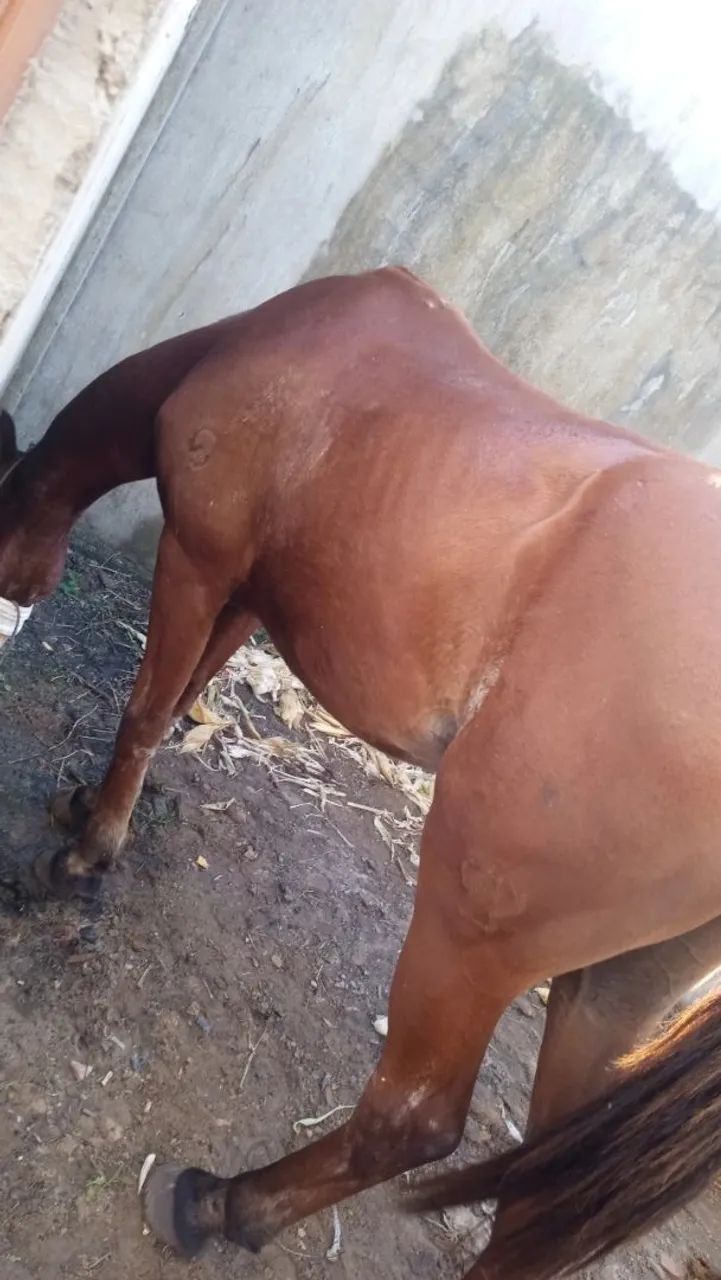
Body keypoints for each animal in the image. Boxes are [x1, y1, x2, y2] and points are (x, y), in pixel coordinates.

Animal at [2, 267, 721, 1279]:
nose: (17, 596)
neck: (273, 346)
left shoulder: (198, 558)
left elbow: (147, 709)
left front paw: (84, 854)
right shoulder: (249, 590)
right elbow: (189, 689)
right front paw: (87, 810)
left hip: (469, 938)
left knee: (411, 1125)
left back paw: (224, 1203)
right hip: (608, 998)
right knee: (545, 1202)